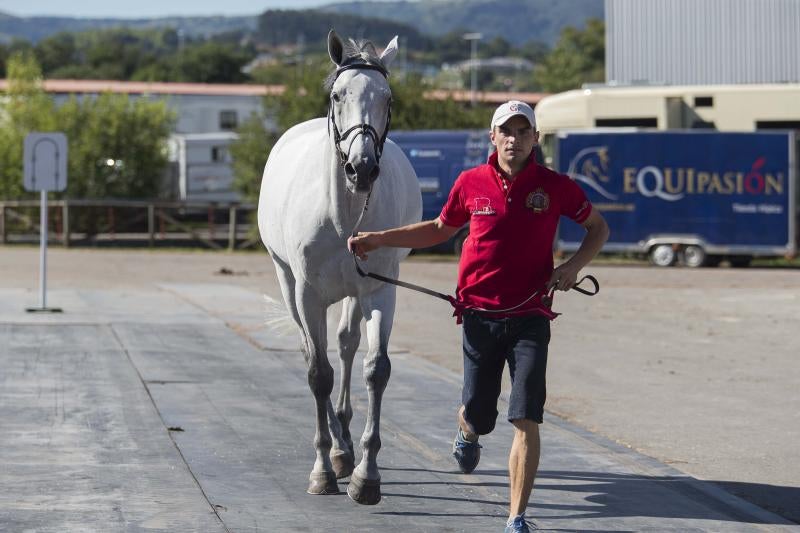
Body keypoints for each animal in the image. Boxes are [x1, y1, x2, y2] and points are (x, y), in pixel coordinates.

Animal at [258, 30, 422, 502]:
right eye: (337, 95)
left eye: (388, 98)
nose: (361, 168)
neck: (343, 212)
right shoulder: (309, 295)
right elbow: (318, 374)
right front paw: (322, 470)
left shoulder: (380, 290)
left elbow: (375, 369)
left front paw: (367, 473)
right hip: (287, 282)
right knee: (312, 352)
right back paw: (335, 449)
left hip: (353, 291)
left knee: (347, 345)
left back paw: (345, 444)